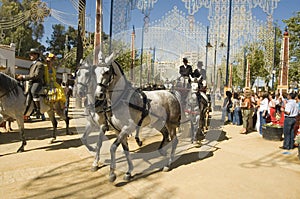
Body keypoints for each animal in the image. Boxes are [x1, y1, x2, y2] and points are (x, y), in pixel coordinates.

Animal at [95, 54, 182, 182]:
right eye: (95, 71)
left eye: (106, 72)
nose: (98, 95)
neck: (122, 99)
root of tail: (171, 93)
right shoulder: (118, 131)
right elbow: (125, 150)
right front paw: (128, 172)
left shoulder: (127, 128)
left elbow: (112, 147)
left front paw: (112, 174)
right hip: (157, 123)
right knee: (165, 135)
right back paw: (161, 151)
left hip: (170, 124)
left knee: (174, 140)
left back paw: (168, 164)